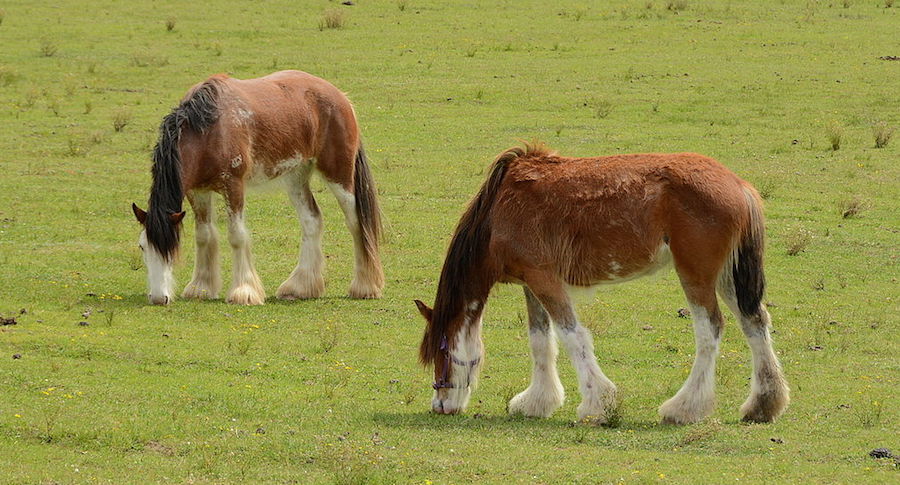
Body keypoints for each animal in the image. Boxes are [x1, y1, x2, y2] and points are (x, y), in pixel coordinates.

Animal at [131, 70, 384, 305]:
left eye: (172, 248)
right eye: (143, 247)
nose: (158, 298)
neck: (207, 129)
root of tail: (341, 97)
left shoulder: (233, 185)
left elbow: (237, 236)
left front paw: (243, 292)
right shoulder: (198, 192)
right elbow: (203, 235)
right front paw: (200, 288)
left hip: (339, 175)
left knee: (356, 222)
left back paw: (365, 286)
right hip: (296, 176)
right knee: (311, 221)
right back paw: (300, 287)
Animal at [414, 142, 789, 425]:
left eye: (441, 352)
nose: (440, 406)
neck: (500, 209)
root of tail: (739, 185)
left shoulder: (545, 279)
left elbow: (572, 336)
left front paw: (598, 404)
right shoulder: (531, 283)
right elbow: (540, 341)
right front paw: (537, 402)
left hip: (696, 276)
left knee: (710, 331)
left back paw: (683, 408)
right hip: (728, 277)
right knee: (755, 323)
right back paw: (762, 406)